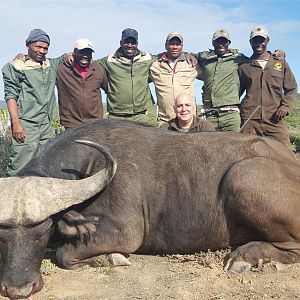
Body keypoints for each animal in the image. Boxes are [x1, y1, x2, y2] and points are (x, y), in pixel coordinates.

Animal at [0, 119, 300, 298]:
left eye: (42, 231)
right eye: (2, 237)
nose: (18, 289)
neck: (90, 165)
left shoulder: (126, 233)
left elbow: (64, 254)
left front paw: (109, 258)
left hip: (242, 175)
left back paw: (246, 257)